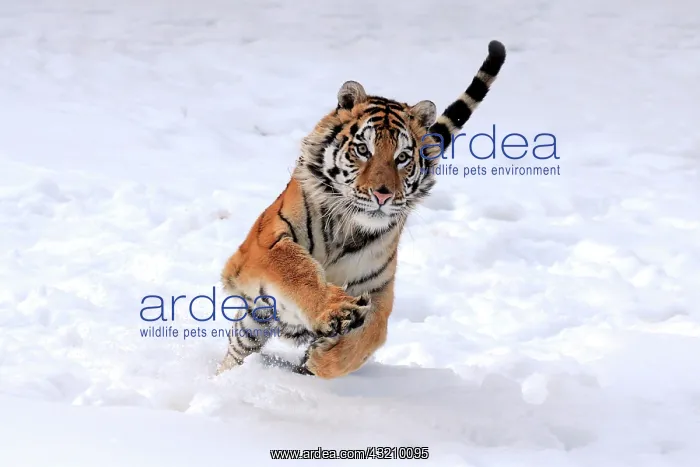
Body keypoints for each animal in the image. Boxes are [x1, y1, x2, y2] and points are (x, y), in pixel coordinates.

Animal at [217, 40, 506, 379]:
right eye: (363, 149)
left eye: (402, 157)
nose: (383, 194)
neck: (348, 227)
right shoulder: (265, 243)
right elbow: (296, 269)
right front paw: (334, 310)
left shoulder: (379, 288)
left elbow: (372, 332)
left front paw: (322, 360)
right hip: (253, 319)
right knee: (237, 352)